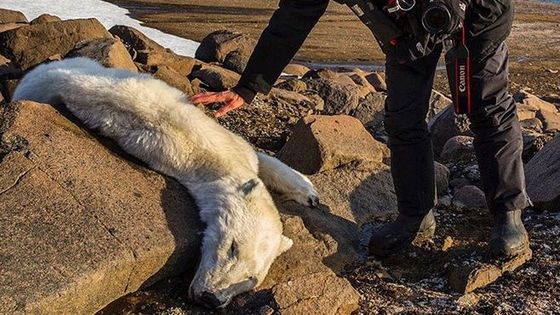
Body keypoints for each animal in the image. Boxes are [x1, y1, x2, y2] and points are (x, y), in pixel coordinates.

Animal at [12, 58, 320, 310]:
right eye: (233, 247)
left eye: (251, 278)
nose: (211, 299)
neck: (217, 157)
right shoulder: (178, 141)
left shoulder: (234, 148)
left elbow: (263, 159)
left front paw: (310, 194)